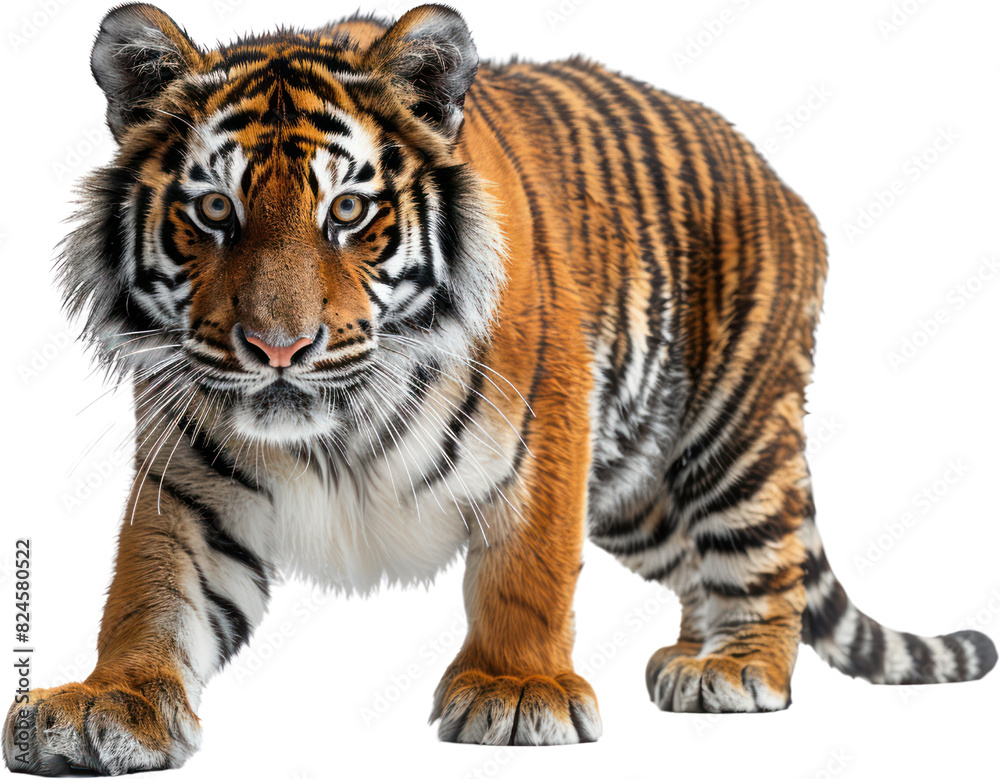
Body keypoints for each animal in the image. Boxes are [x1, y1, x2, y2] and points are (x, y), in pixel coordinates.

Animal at [3, 2, 995, 774]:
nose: (279, 347)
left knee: (767, 557)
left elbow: (528, 572)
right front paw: (106, 703)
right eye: (214, 210)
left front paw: (519, 690)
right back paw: (690, 650)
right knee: (698, 561)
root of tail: (774, 171)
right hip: (639, 494)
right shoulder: (188, 480)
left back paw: (737, 667)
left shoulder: (548, 431)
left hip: (733, 435)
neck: (335, 423)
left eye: (348, 211)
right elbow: (151, 591)